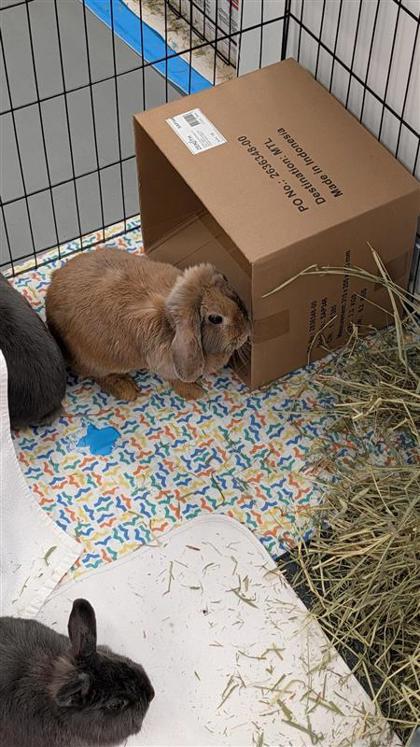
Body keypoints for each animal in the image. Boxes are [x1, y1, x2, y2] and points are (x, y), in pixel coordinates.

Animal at [45, 248, 250, 401]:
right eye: (215, 319)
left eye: (231, 297)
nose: (245, 332)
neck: (171, 324)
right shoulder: (164, 363)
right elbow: (175, 380)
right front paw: (195, 393)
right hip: (95, 360)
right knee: (97, 375)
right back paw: (126, 390)